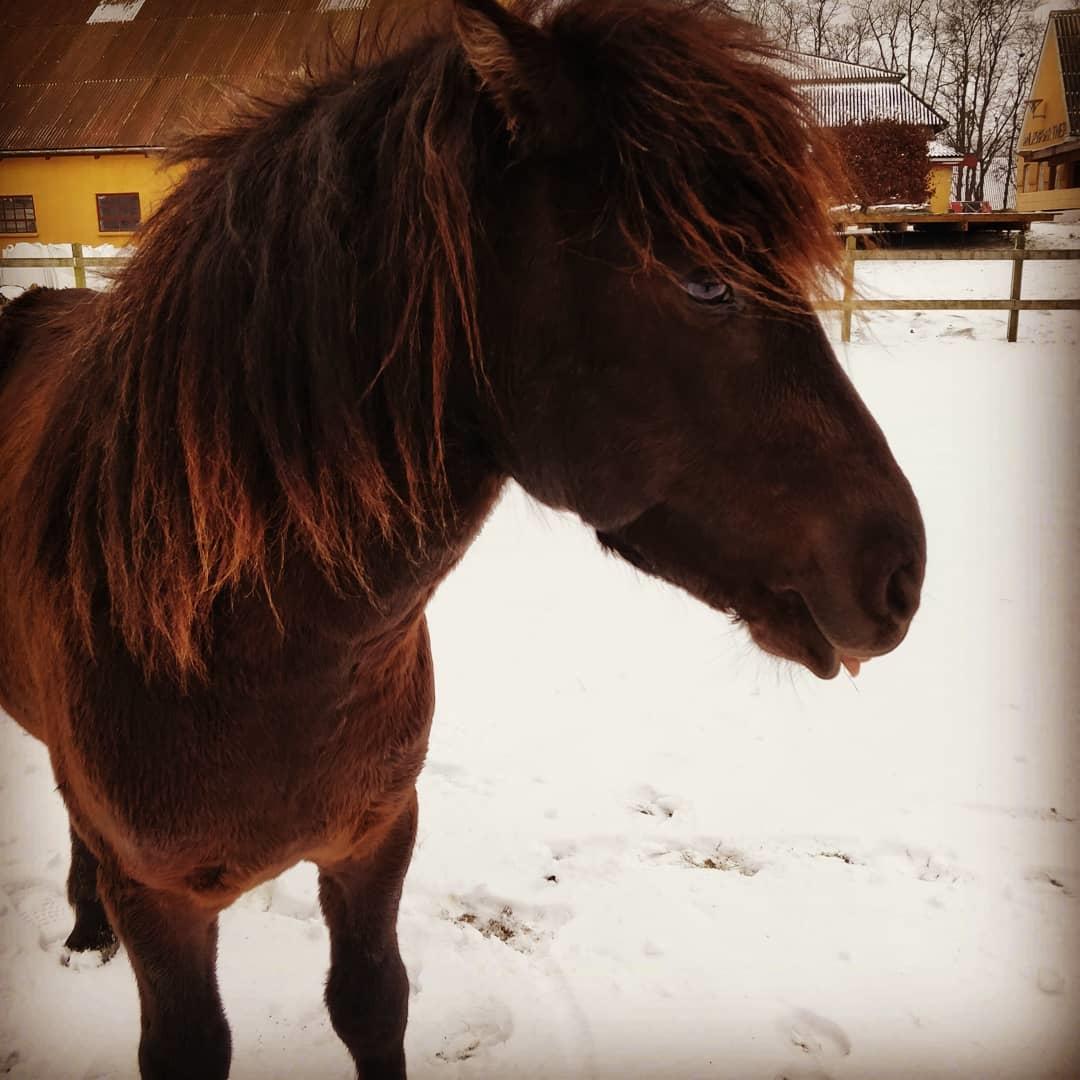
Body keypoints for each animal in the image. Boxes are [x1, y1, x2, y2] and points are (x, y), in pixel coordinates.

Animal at [0, 0, 924, 1075]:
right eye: (704, 283)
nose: (901, 575)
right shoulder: (165, 905)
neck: (248, 653)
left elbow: (371, 1003)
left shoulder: (376, 840)